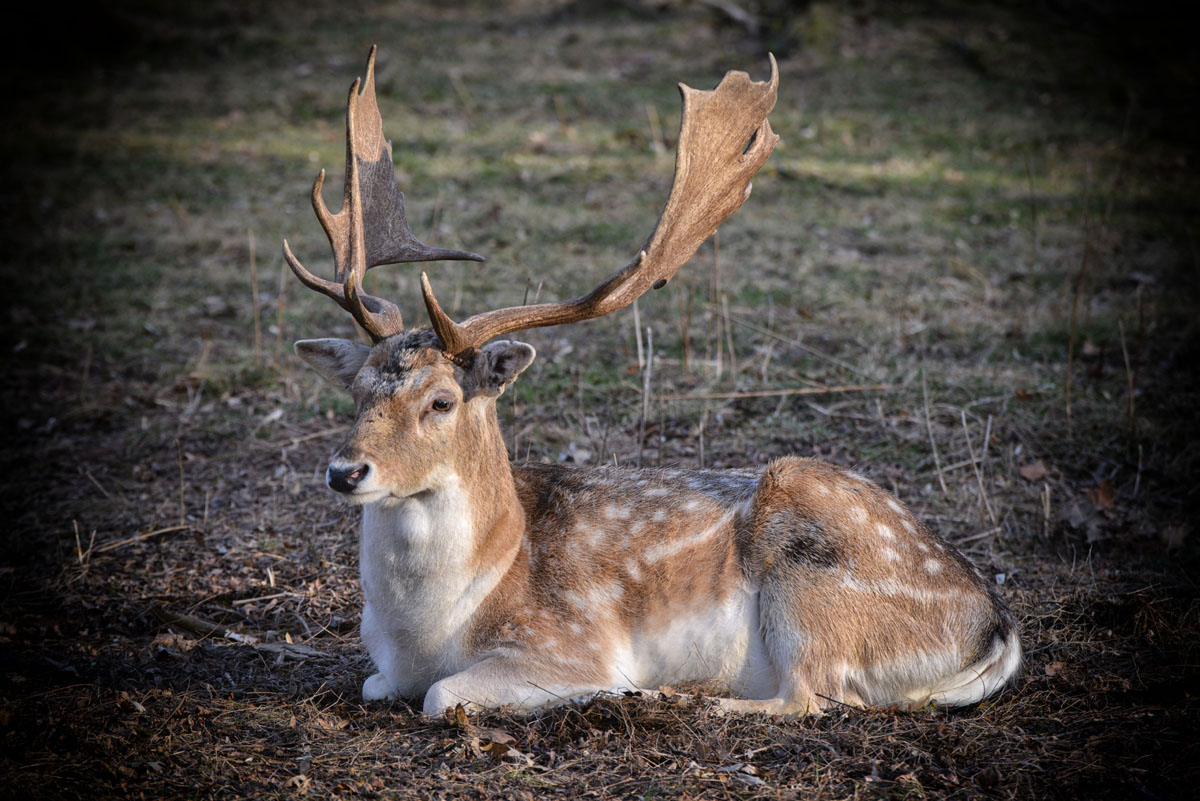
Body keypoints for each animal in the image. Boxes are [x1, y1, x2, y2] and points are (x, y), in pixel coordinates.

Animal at [283, 47, 1021, 717]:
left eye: (441, 400)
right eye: (357, 392)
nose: (346, 471)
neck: (433, 630)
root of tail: (993, 623)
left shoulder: (568, 642)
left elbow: (442, 696)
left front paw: (613, 688)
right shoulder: (387, 668)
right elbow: (375, 683)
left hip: (814, 588)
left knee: (814, 697)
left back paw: (679, 695)